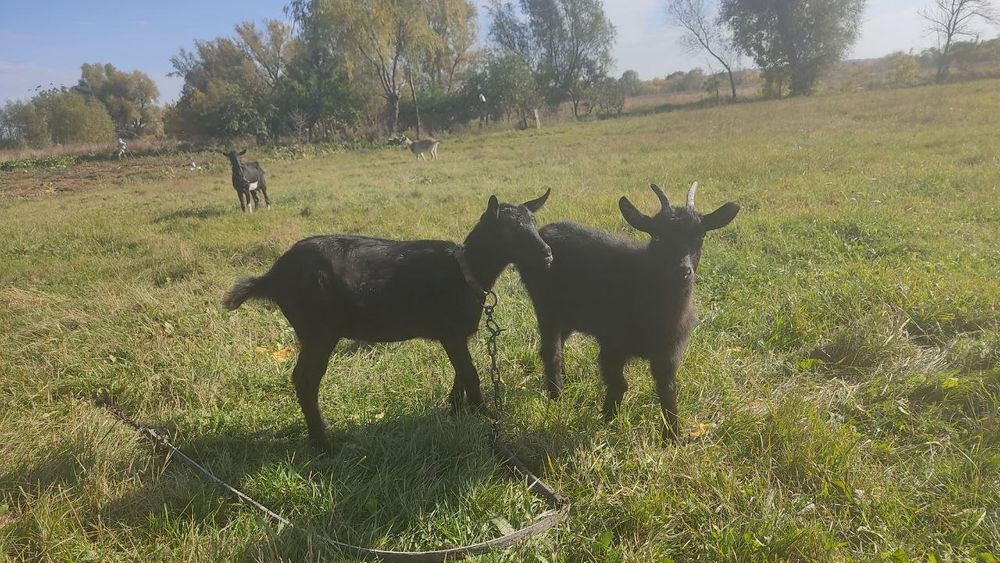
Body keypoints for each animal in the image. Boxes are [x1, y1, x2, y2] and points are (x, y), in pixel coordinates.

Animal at [223, 190, 552, 451]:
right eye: (507, 231)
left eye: (533, 224)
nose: (547, 255)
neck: (466, 270)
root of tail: (272, 277)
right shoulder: (450, 331)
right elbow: (470, 372)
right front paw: (485, 414)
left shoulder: (458, 333)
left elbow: (462, 371)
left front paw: (458, 412)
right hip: (319, 330)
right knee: (305, 379)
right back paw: (324, 444)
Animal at [518, 182, 739, 441]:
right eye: (658, 237)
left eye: (700, 236)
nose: (683, 270)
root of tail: (544, 231)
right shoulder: (612, 345)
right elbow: (619, 383)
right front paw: (607, 420)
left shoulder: (667, 352)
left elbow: (667, 388)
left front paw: (673, 436)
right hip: (546, 309)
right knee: (551, 351)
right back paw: (557, 397)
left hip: (569, 316)